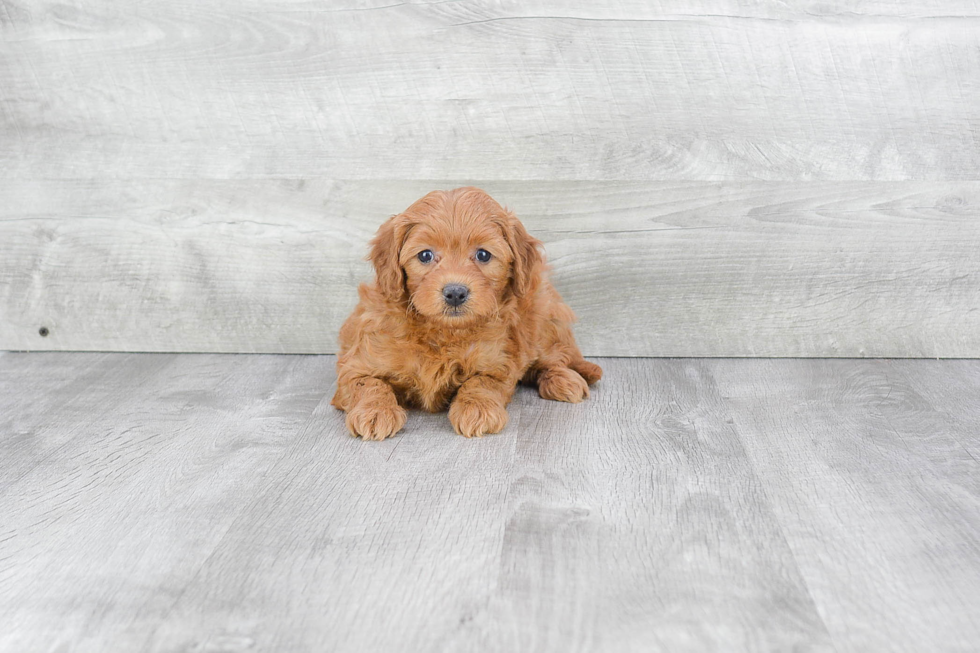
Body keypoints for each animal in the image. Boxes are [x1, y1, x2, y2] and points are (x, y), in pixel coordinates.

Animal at [334, 186, 600, 438]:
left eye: (483, 254)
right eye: (425, 255)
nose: (455, 292)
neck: (443, 332)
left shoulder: (498, 364)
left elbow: (481, 382)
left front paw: (477, 409)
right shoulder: (356, 365)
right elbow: (368, 384)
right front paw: (375, 411)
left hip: (542, 316)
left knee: (554, 358)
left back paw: (563, 380)